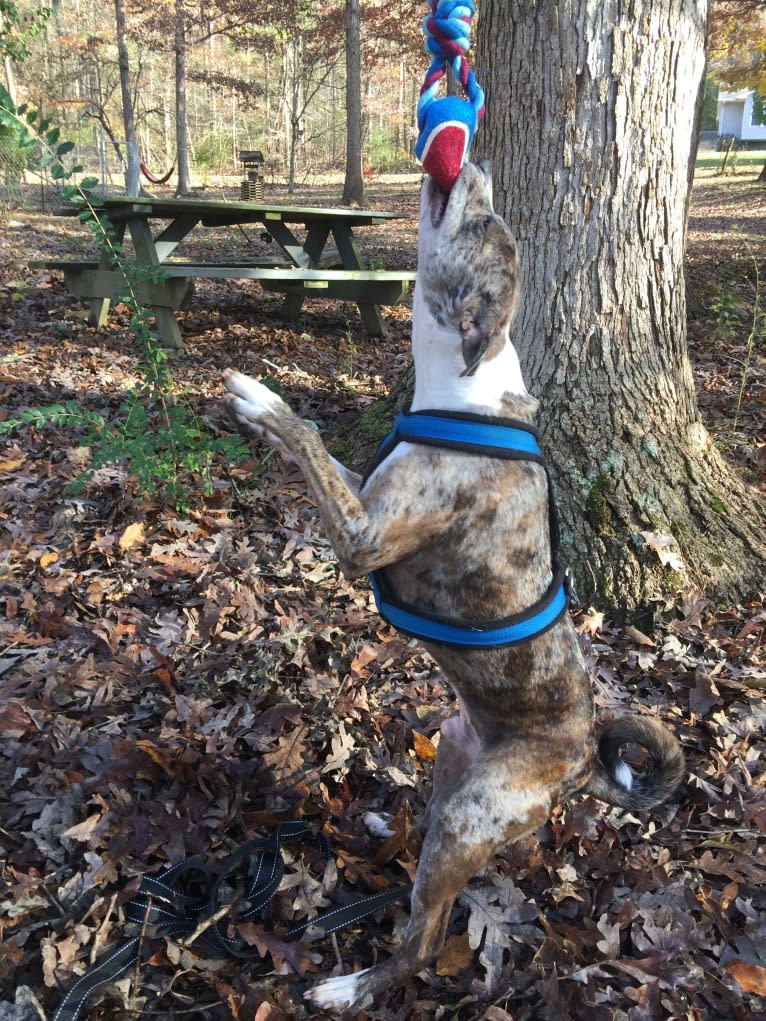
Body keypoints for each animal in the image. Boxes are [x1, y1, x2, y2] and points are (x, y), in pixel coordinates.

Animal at [221, 163, 682, 1008]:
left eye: (478, 225)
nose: (473, 165)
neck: (467, 389)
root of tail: (583, 762)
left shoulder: (363, 536)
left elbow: (304, 432)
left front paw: (261, 399)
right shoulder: (366, 496)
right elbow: (321, 456)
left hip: (474, 816)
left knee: (424, 938)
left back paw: (354, 986)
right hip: (452, 759)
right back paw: (386, 831)